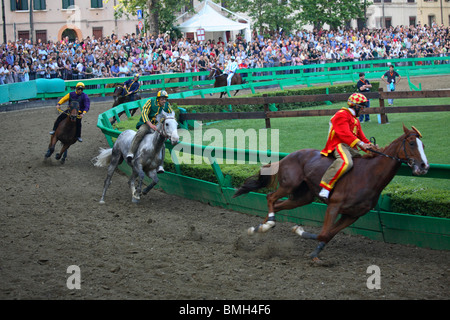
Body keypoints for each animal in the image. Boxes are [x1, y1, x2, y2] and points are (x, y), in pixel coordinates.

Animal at [234, 126, 430, 262]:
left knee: (277, 204)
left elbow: (327, 235)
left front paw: (313, 251)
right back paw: (267, 224)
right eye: (412, 143)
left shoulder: (353, 215)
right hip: (289, 185)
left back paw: (260, 227)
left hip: (302, 197)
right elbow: (323, 233)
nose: (424, 166)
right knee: (271, 197)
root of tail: (286, 157)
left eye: (423, 145)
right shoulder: (335, 205)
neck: (368, 175)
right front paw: (299, 231)